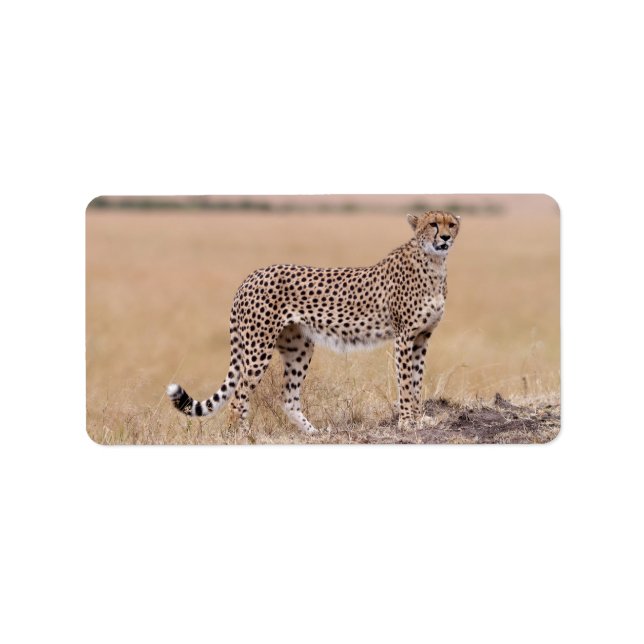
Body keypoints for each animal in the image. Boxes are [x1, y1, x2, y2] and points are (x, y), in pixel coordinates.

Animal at [166, 210, 460, 434]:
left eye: (452, 224)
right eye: (433, 224)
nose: (445, 237)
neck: (434, 263)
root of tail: (251, 275)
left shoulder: (422, 337)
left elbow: (417, 380)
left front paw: (420, 418)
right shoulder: (404, 337)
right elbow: (406, 382)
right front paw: (408, 422)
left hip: (299, 347)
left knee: (288, 398)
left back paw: (312, 432)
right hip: (258, 347)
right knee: (239, 396)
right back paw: (240, 435)